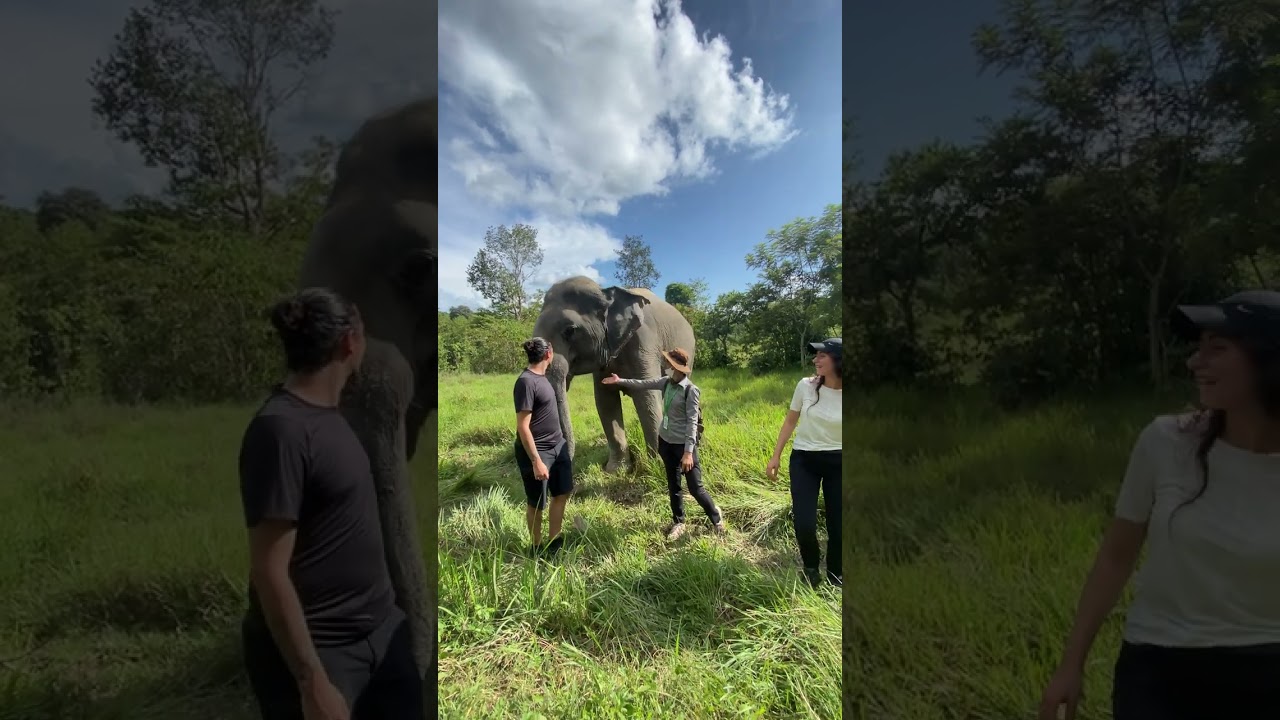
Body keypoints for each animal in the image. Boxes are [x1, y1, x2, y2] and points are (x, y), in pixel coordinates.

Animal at [532, 276, 697, 473]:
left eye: (570, 330)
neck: (606, 292)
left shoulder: (644, 341)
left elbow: (646, 397)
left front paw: (658, 466)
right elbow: (605, 402)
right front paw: (616, 470)